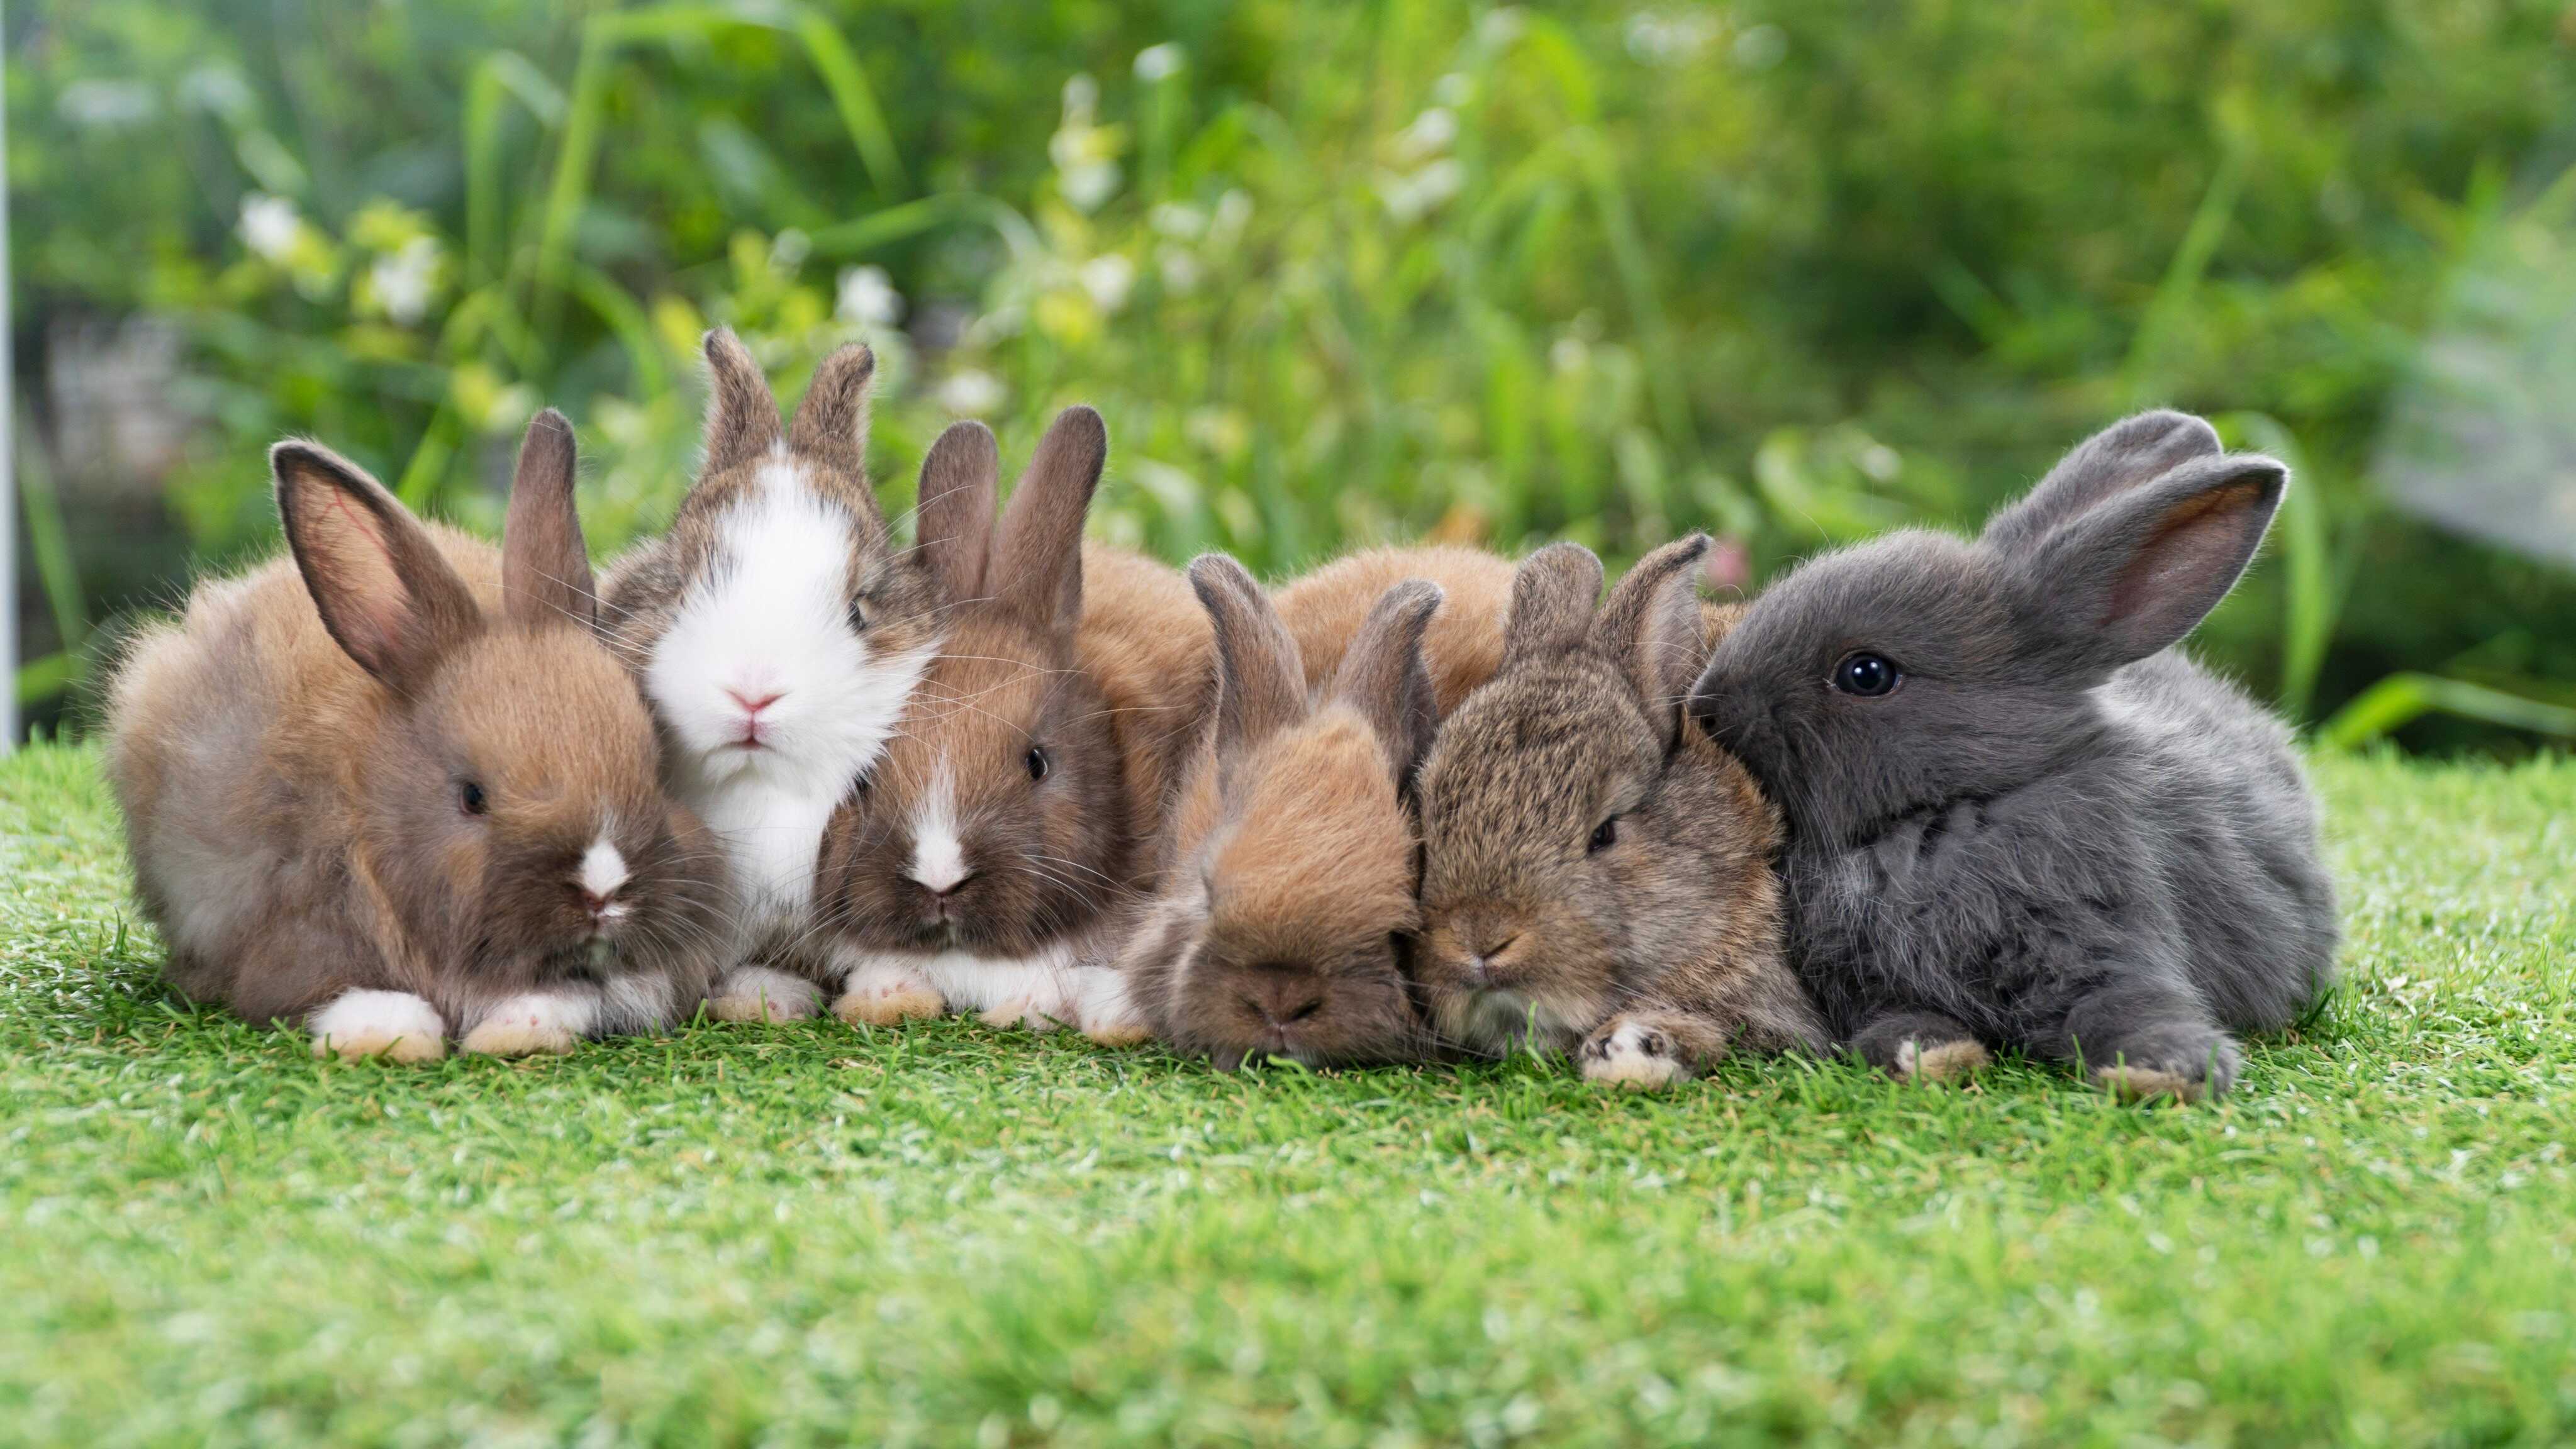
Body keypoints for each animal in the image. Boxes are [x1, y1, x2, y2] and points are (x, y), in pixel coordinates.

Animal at [105, 412, 732, 1060]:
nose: (603, 892)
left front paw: (519, 1028)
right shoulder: (295, 929)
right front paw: (391, 1036)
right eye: (471, 797)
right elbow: (344, 992)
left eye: (655, 771)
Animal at [1686, 410, 2339, 1101]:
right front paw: (1928, 1056)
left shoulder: (2107, 938)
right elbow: (1896, 1018)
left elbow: (2130, 1005)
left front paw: (2164, 1071)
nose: (1707, 706)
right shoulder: (1867, 985)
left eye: (1866, 674)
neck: (1948, 813)